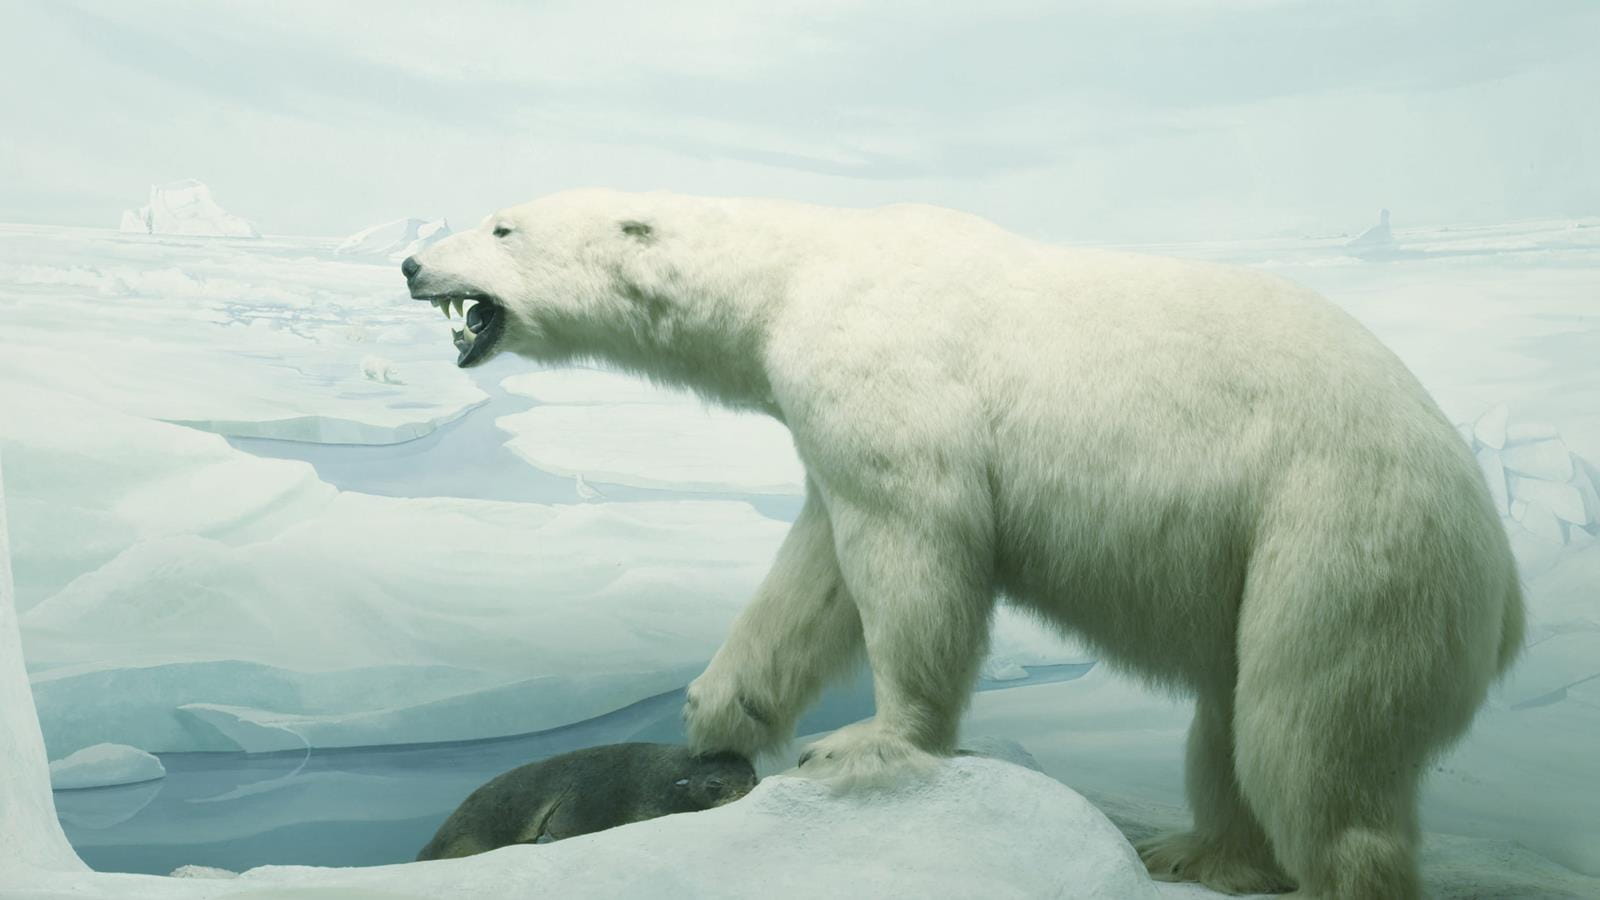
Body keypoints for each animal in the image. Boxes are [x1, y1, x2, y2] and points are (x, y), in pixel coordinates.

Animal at [402, 190, 1524, 900]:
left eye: (502, 220)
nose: (411, 262)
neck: (800, 271)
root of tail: (1507, 585)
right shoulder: (826, 416)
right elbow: (817, 570)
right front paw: (721, 707)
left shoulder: (888, 373)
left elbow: (916, 545)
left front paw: (867, 742)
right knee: (1230, 723)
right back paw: (1196, 855)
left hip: (1343, 532)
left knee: (1307, 737)